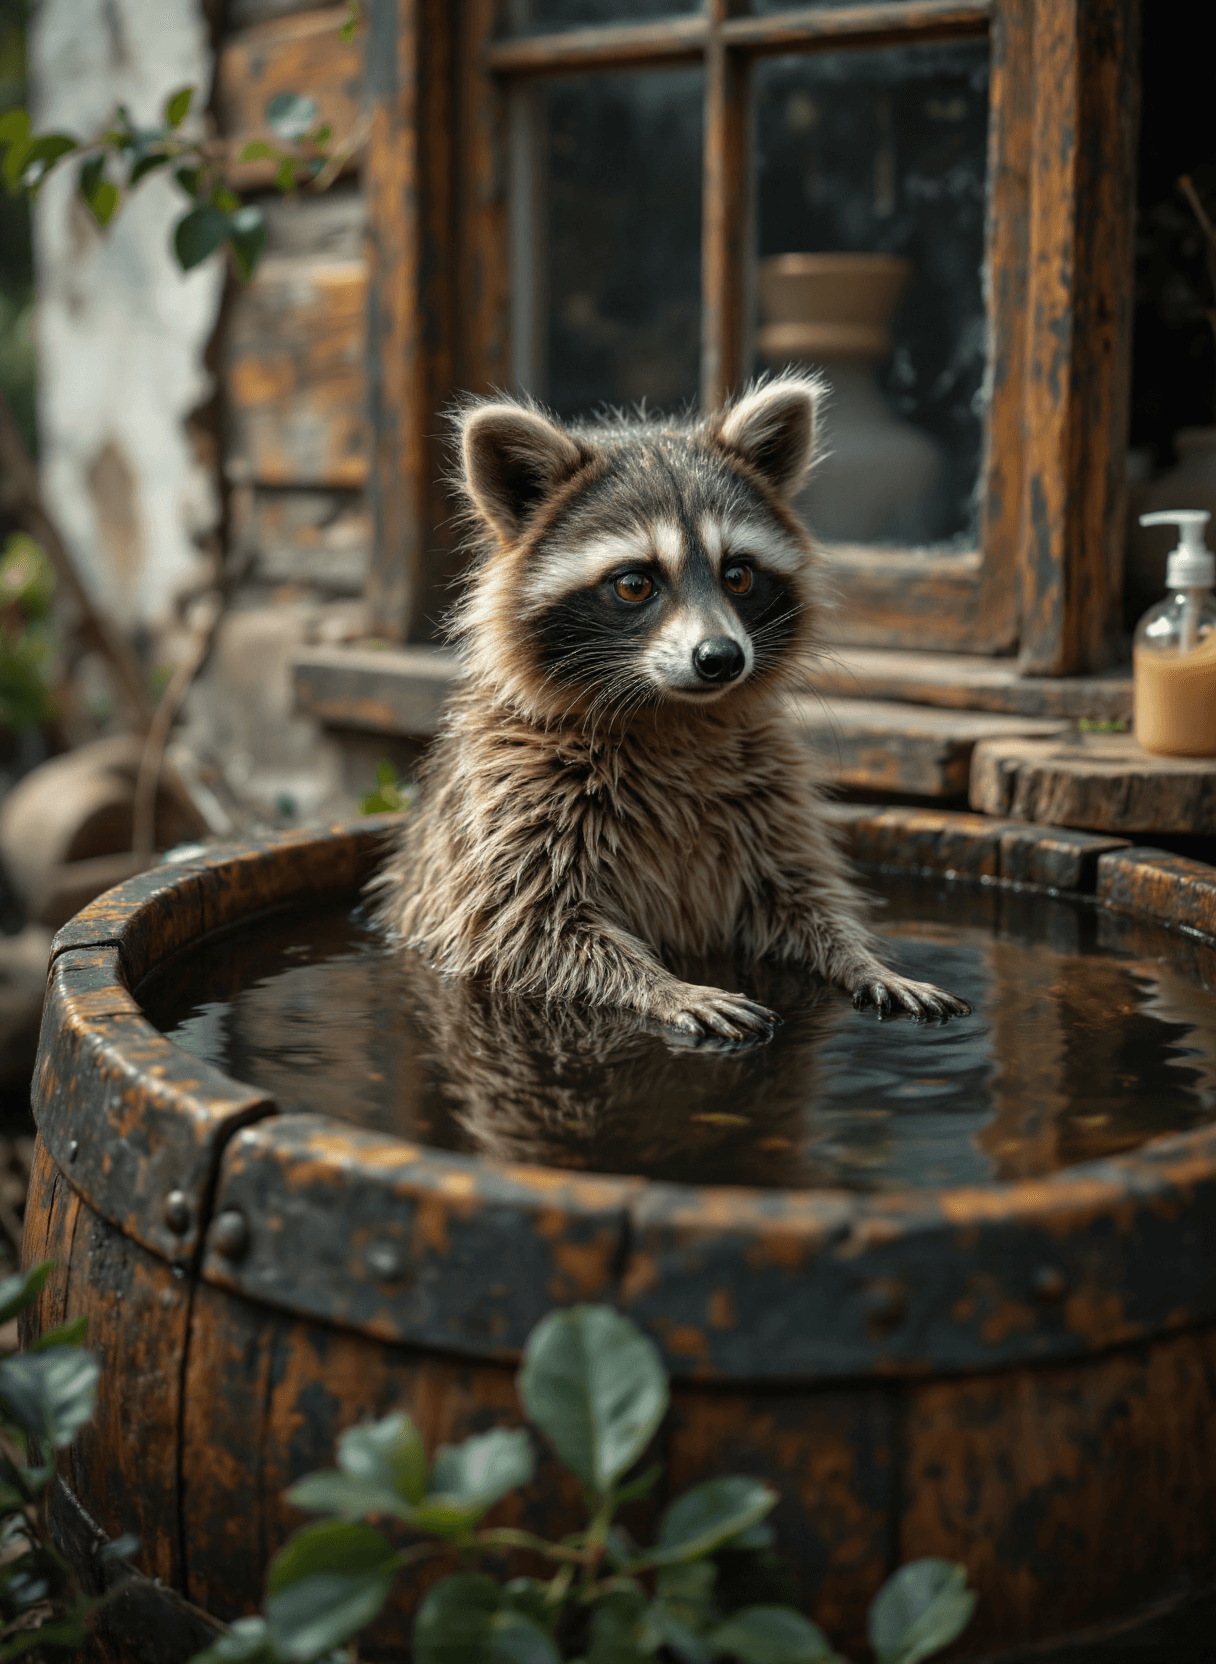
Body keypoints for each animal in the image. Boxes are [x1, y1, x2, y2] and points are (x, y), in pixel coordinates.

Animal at [372, 371, 971, 1041]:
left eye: (738, 575)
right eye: (635, 584)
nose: (721, 658)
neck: (668, 714)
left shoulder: (770, 797)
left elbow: (800, 899)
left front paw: (864, 957)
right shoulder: (507, 801)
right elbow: (519, 930)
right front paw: (665, 986)